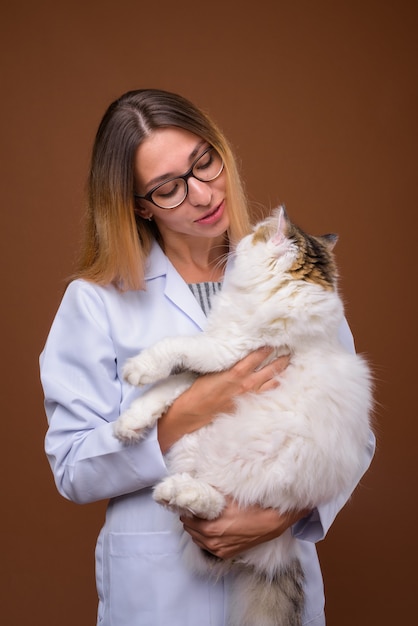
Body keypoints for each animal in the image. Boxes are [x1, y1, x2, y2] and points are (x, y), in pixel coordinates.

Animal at [112, 206, 370, 624]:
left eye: (256, 234)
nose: (242, 238)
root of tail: (279, 549)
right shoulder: (211, 368)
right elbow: (168, 389)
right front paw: (131, 422)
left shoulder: (226, 349)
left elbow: (174, 348)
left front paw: (139, 369)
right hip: (190, 445)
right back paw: (175, 490)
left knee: (216, 510)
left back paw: (175, 492)